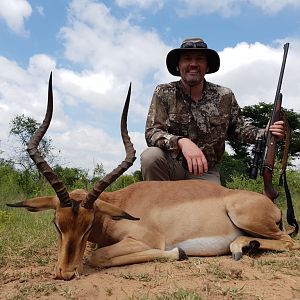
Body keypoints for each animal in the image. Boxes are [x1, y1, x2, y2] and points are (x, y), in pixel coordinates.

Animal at [7, 74, 298, 280]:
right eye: (57, 224)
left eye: (88, 225)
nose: (65, 274)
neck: (120, 206)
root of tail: (270, 205)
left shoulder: (144, 240)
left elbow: (97, 256)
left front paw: (179, 252)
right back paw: (248, 247)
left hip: (244, 216)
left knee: (288, 241)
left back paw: (239, 248)